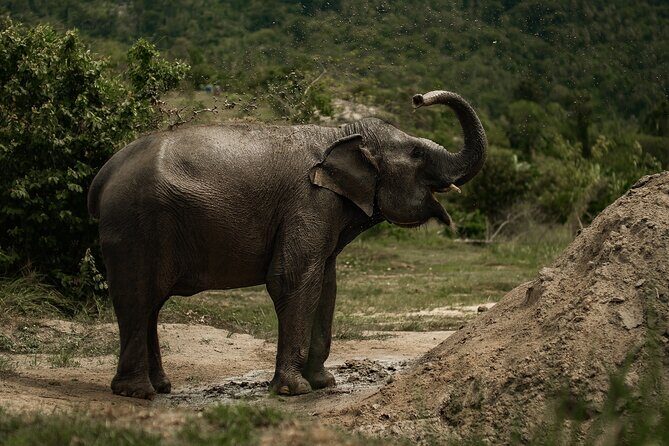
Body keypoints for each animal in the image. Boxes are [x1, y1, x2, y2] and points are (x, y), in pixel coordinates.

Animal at [87, 90, 487, 399]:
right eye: (417, 154)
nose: (419, 98)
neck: (341, 133)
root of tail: (102, 177)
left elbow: (326, 284)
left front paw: (324, 383)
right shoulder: (308, 200)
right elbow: (292, 278)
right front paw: (294, 391)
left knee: (150, 304)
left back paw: (160, 387)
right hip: (136, 226)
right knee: (138, 298)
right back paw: (137, 393)